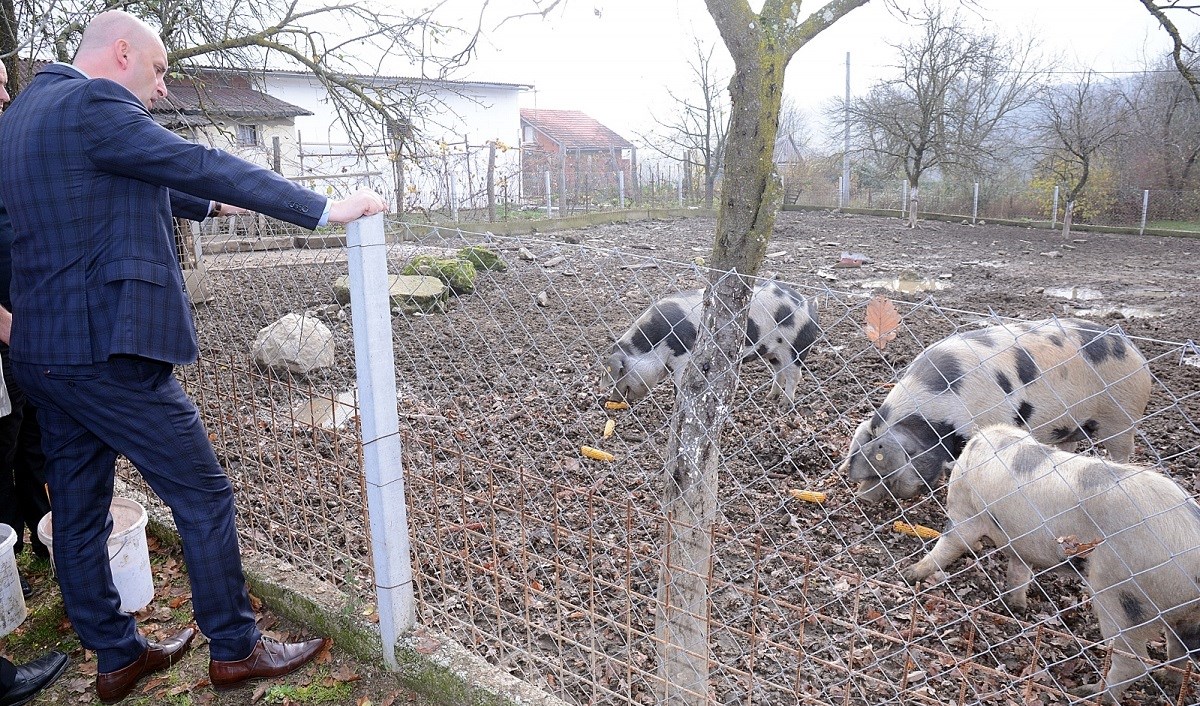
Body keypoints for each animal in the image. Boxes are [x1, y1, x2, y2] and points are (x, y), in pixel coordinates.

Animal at [604, 279, 820, 405]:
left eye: (622, 371)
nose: (612, 399)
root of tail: (809, 306)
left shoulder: (684, 355)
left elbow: (680, 383)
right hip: (773, 351)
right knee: (779, 371)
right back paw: (770, 397)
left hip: (795, 348)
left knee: (795, 375)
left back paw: (784, 405)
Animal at [840, 319, 1147, 501]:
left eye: (909, 455)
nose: (864, 497)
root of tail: (1132, 348)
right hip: (1072, 426)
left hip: (1122, 417)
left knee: (1122, 452)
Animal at [902, 422, 1200, 701]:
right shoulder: (1019, 540)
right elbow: (1018, 570)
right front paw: (1017, 607)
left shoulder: (966, 508)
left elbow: (952, 541)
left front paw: (910, 574)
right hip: (1181, 615)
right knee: (1182, 649)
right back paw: (1167, 680)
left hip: (1124, 595)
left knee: (1134, 662)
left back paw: (1088, 693)